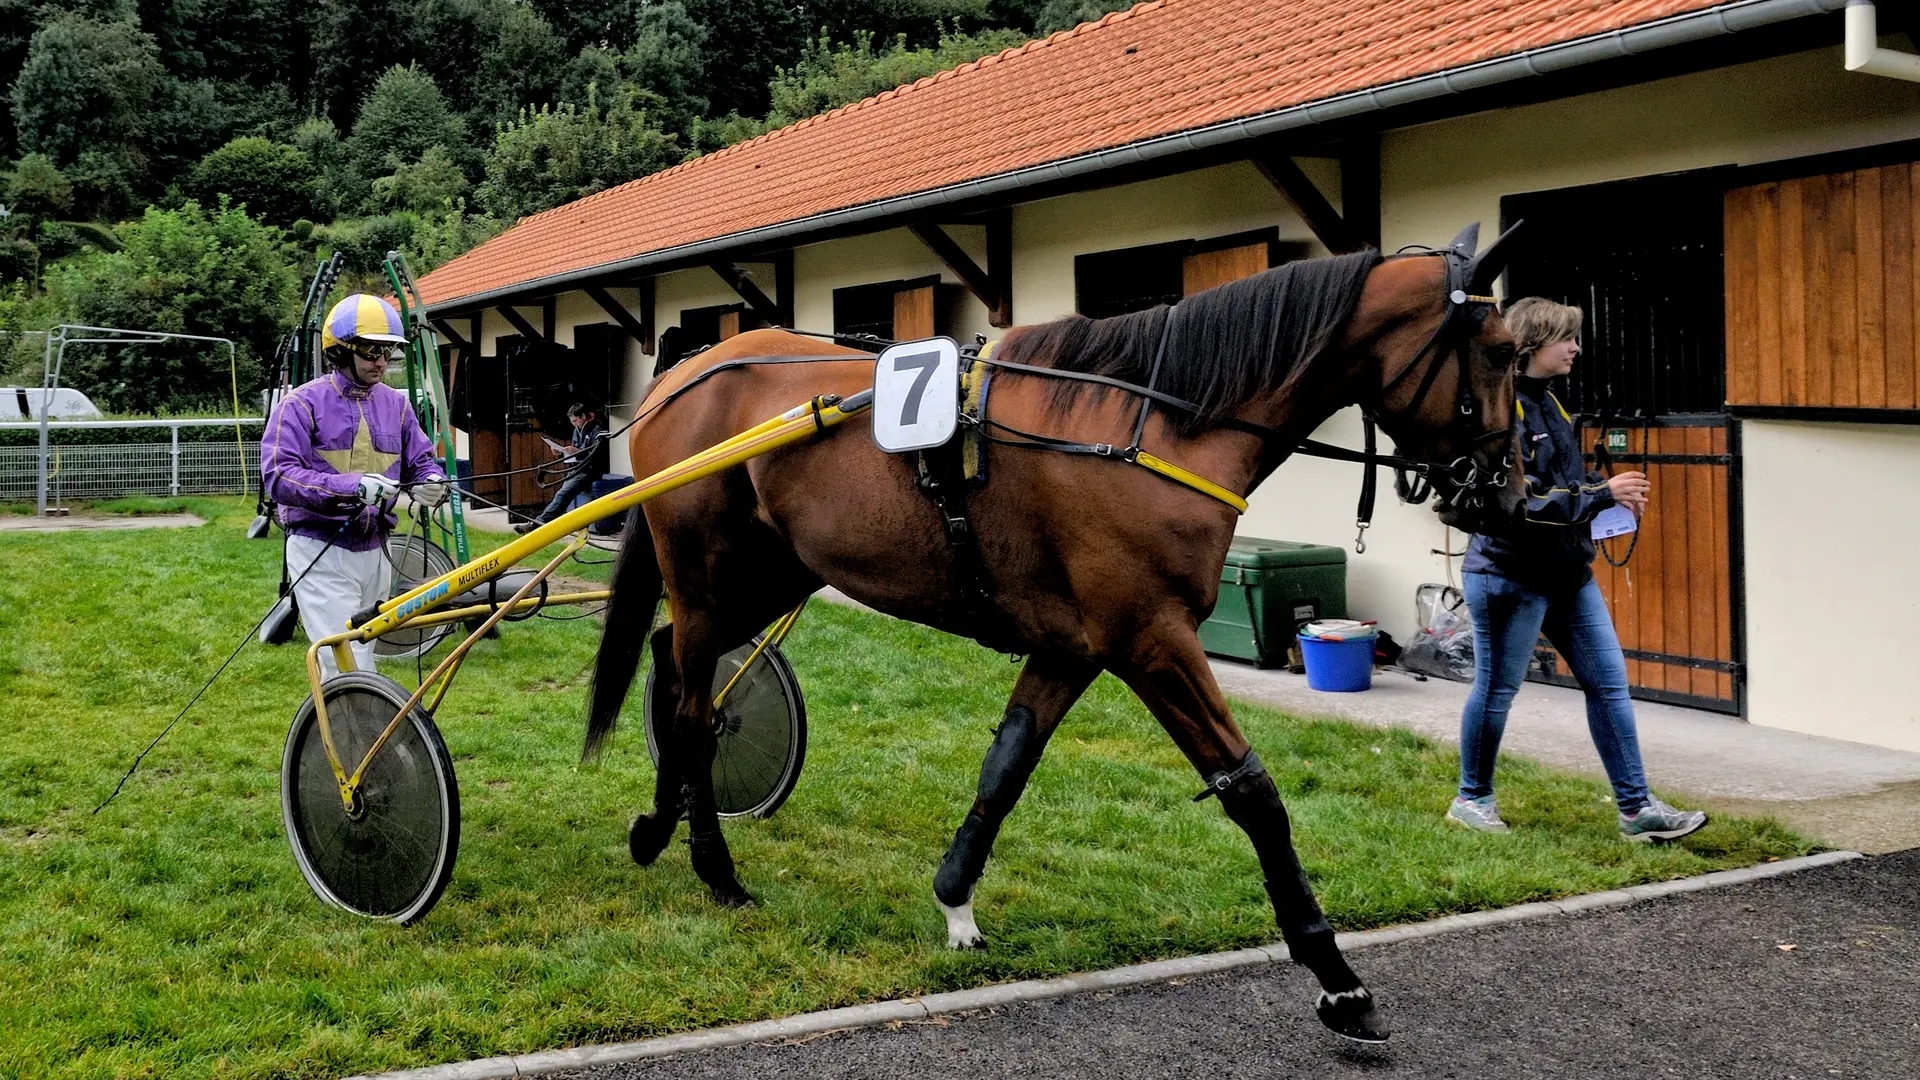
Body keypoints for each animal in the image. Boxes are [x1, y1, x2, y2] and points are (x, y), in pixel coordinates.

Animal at [576, 222, 1520, 1037]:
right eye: (1504, 352)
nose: (1505, 490)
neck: (1149, 426)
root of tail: (684, 375)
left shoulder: (1076, 646)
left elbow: (1009, 762)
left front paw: (956, 899)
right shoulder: (1152, 639)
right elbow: (1251, 791)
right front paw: (1338, 979)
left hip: (779, 569)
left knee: (673, 665)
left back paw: (659, 826)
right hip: (710, 570)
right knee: (692, 702)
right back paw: (713, 865)